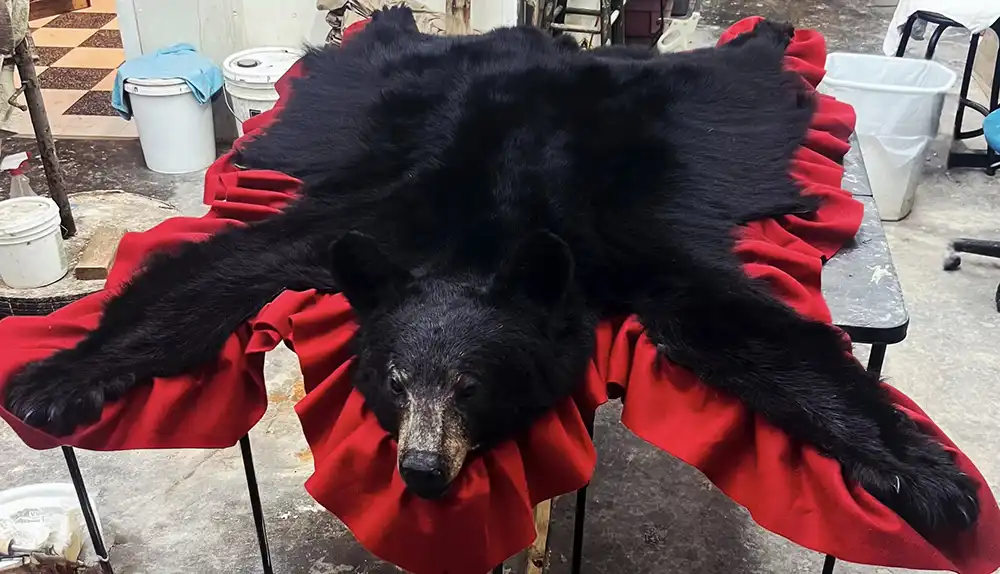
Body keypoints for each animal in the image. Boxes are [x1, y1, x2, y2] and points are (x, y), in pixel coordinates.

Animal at [2, 8, 979, 540]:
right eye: (396, 380)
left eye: (474, 383)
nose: (422, 470)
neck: (481, 236)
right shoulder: (366, 218)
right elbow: (218, 271)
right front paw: (56, 378)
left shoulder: (620, 244)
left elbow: (735, 327)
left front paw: (929, 475)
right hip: (375, 84)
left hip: (700, 95)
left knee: (733, 66)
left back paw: (767, 31)